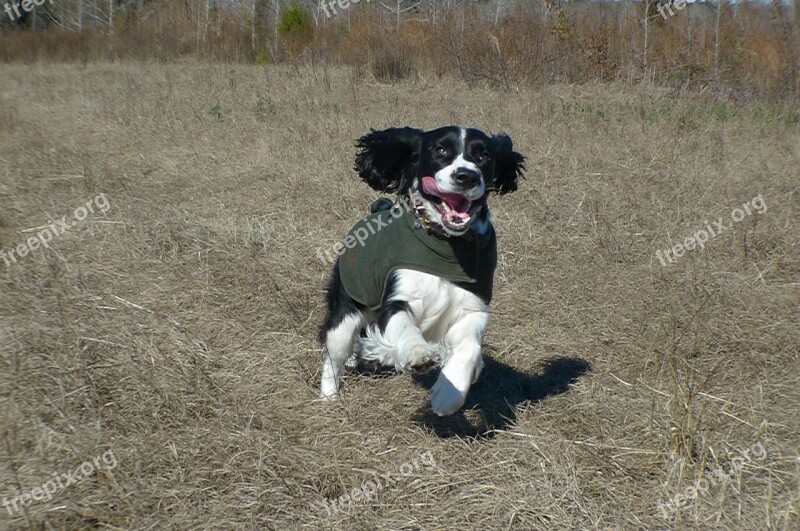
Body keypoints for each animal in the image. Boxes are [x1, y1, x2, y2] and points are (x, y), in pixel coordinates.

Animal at [318, 127, 524, 418]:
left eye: (484, 155)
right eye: (440, 150)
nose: (467, 176)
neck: (445, 246)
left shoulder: (474, 306)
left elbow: (470, 346)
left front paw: (449, 393)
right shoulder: (398, 297)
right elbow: (405, 325)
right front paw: (418, 354)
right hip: (346, 312)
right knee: (334, 355)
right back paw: (329, 396)